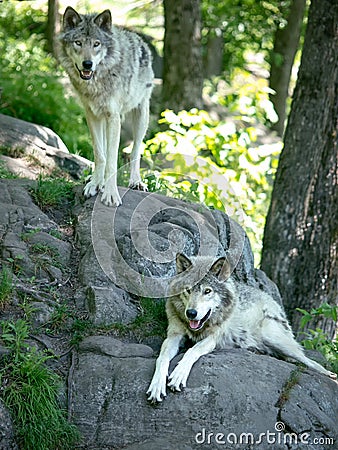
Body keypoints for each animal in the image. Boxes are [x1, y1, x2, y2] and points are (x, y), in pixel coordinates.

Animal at [58, 6, 153, 207]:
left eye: (96, 44)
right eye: (78, 43)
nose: (87, 64)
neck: (97, 81)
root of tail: (139, 38)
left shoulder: (113, 116)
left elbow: (111, 160)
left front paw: (110, 193)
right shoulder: (91, 114)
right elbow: (100, 155)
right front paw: (95, 184)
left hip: (141, 117)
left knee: (135, 151)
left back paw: (136, 181)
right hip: (102, 119)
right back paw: (96, 180)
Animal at [147, 253, 336, 404]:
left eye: (207, 291)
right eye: (188, 290)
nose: (191, 313)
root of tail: (272, 300)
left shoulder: (212, 339)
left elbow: (191, 352)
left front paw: (179, 374)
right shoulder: (174, 336)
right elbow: (161, 359)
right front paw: (157, 385)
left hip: (273, 338)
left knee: (309, 361)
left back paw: (331, 376)